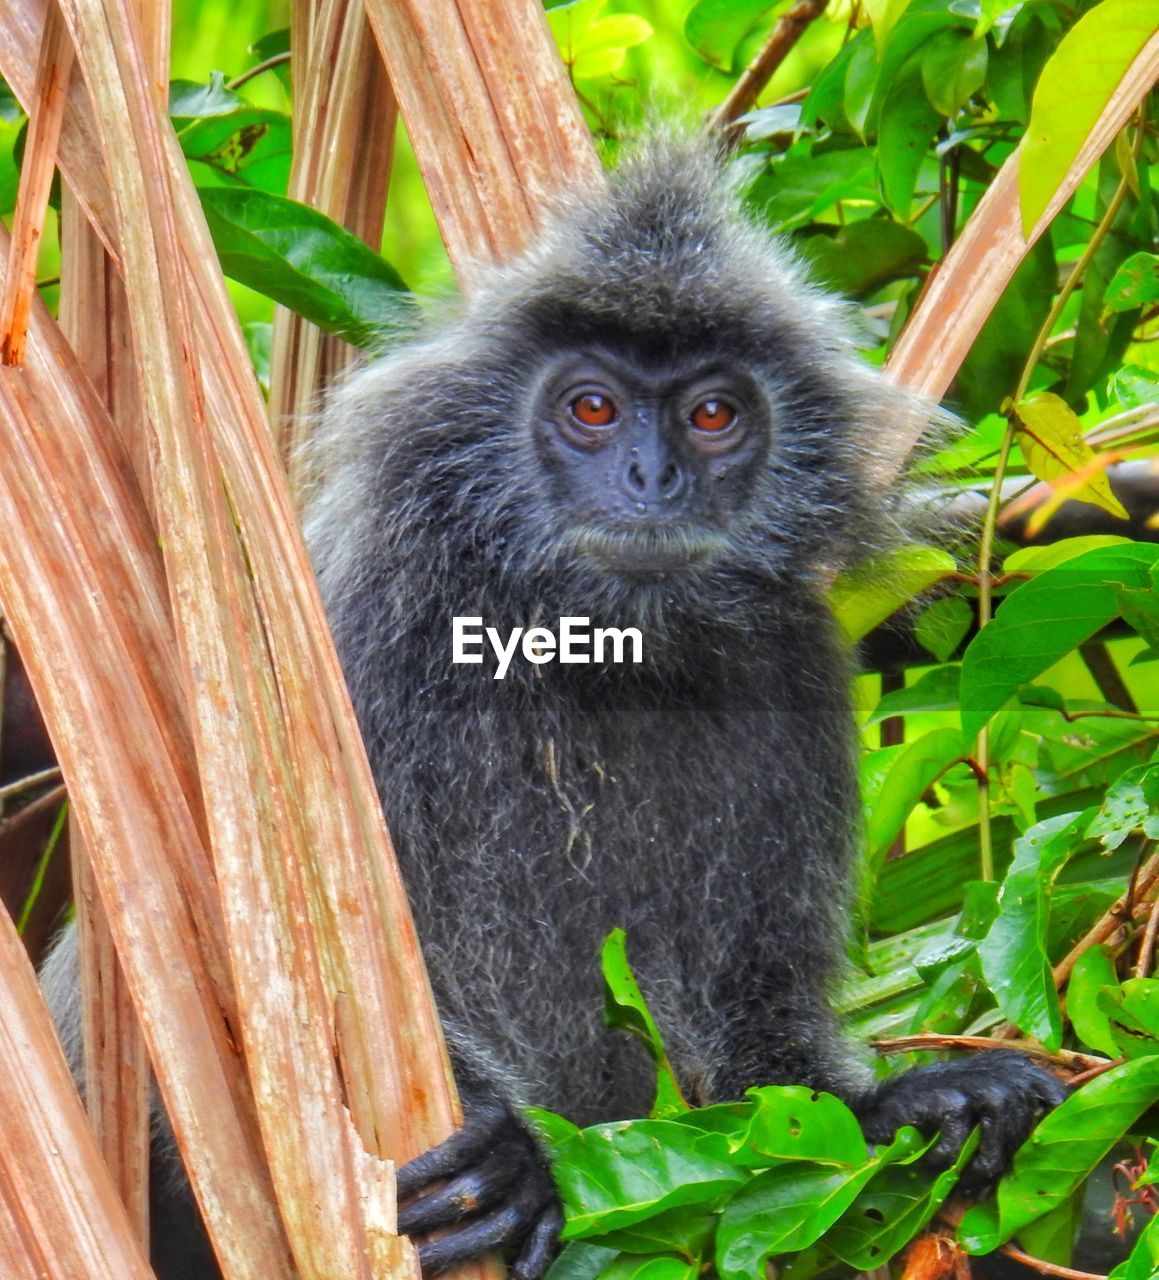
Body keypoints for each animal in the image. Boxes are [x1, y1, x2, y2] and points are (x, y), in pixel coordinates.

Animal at [40, 132, 1060, 1280]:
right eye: (592, 408)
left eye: (713, 414)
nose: (652, 476)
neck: (594, 649)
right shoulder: (369, 638)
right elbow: (259, 1004)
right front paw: (501, 1162)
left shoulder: (790, 667)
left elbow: (755, 1026)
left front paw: (900, 1107)